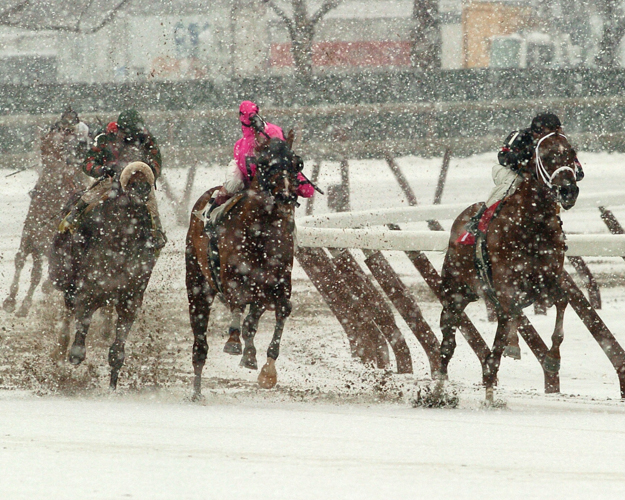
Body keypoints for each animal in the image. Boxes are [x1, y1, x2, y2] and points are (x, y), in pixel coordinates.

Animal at [3, 128, 88, 316]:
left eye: (63, 148)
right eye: (43, 147)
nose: (51, 174)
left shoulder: (49, 243)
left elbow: (38, 274)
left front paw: (24, 305)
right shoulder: (31, 236)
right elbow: (21, 260)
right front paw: (10, 300)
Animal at [50, 162, 160, 388]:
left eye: (147, 187)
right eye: (130, 187)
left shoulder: (130, 301)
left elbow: (117, 352)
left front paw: (112, 385)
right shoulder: (87, 294)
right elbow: (77, 350)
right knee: (67, 313)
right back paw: (60, 348)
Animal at [185, 134, 302, 398]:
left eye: (295, 163)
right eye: (266, 164)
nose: (286, 196)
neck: (260, 231)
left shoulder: (278, 283)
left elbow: (280, 310)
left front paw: (267, 369)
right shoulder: (230, 277)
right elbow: (237, 303)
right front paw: (233, 342)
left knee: (252, 319)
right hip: (197, 281)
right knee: (200, 340)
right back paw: (196, 390)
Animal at [436, 131, 576, 404]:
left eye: (572, 154)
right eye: (545, 156)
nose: (568, 190)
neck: (532, 227)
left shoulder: (547, 280)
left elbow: (562, 302)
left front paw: (552, 359)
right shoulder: (505, 285)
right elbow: (501, 332)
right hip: (454, 294)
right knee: (447, 345)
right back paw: (437, 390)